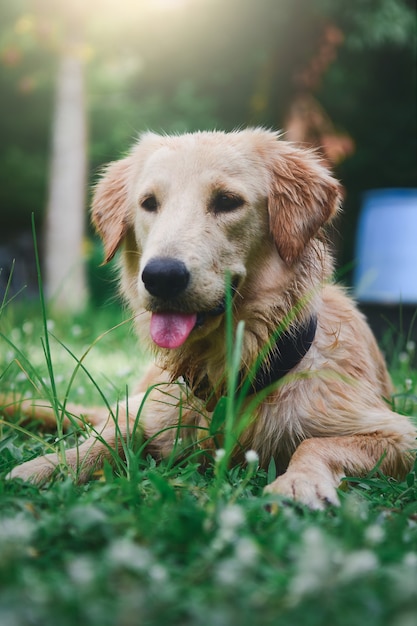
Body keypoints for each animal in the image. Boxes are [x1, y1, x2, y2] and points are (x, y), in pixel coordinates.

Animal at [4, 129, 416, 504]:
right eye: (149, 203)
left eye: (227, 201)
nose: (161, 276)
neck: (229, 377)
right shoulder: (143, 410)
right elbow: (107, 436)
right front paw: (46, 467)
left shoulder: (399, 434)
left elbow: (315, 444)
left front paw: (300, 483)